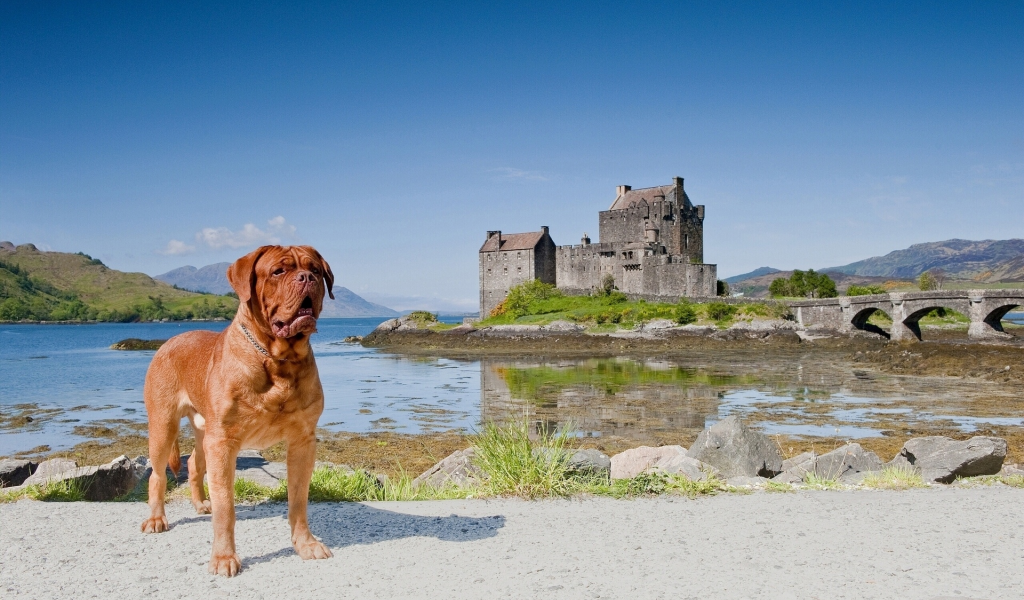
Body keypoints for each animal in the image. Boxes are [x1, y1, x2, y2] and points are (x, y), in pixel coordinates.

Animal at [142, 243, 335, 573]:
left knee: (194, 464)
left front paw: (305, 544)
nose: (307, 278)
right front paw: (224, 557)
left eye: (316, 270)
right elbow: (226, 507)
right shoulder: (224, 442)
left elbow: (299, 500)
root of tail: (168, 341)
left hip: (204, 431)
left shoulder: (303, 441)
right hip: (164, 425)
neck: (277, 359)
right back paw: (156, 518)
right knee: (157, 475)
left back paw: (200, 503)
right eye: (278, 271)